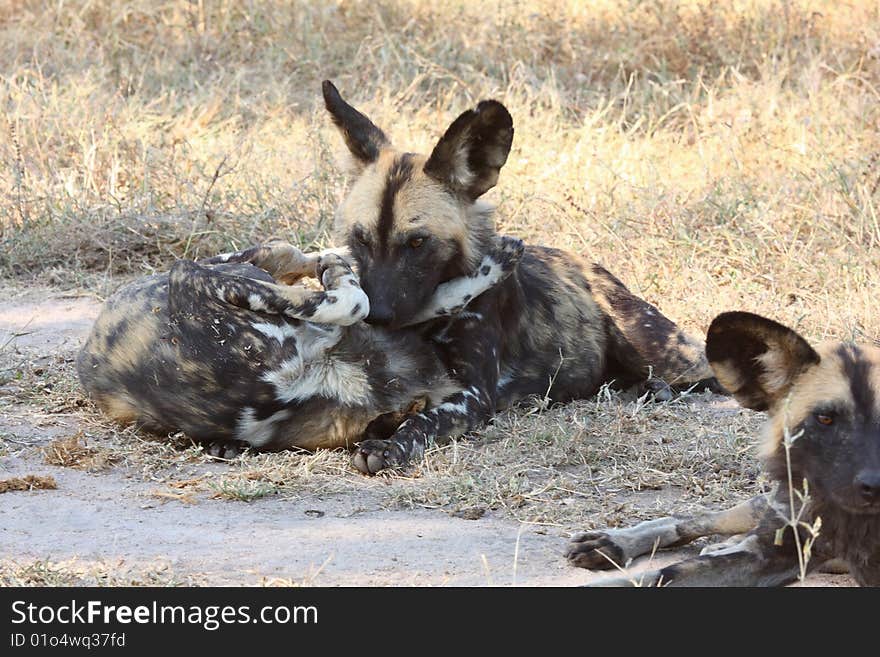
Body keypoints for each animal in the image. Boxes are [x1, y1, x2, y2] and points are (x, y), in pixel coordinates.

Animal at [75, 238, 524, 458]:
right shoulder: (188, 274)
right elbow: (355, 300)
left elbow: (356, 300)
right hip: (225, 265)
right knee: (292, 257)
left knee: (287, 256)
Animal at [320, 80, 720, 472]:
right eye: (361, 238)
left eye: (418, 242)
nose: (377, 315)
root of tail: (596, 269)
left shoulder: (472, 395)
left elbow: (420, 421)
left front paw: (390, 447)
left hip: (662, 351)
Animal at [568, 310, 880, 588]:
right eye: (825, 418)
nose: (874, 486)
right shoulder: (771, 553)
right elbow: (656, 575)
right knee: (695, 520)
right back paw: (615, 543)